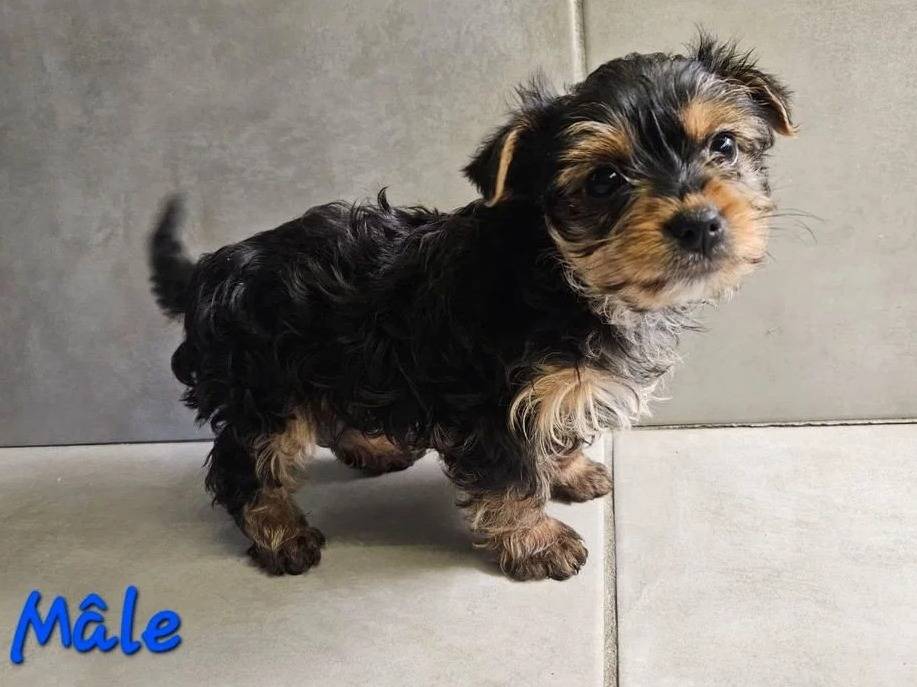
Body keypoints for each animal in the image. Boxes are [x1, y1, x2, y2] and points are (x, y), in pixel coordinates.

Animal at [148, 35, 794, 581]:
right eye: (605, 180)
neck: (564, 275)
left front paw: (570, 472)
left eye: (724, 145)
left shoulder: (549, 389)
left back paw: (374, 447)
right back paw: (281, 533)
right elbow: (511, 477)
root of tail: (213, 269)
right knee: (245, 464)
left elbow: (556, 432)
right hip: (265, 386)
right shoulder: (493, 405)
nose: (699, 222)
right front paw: (537, 542)